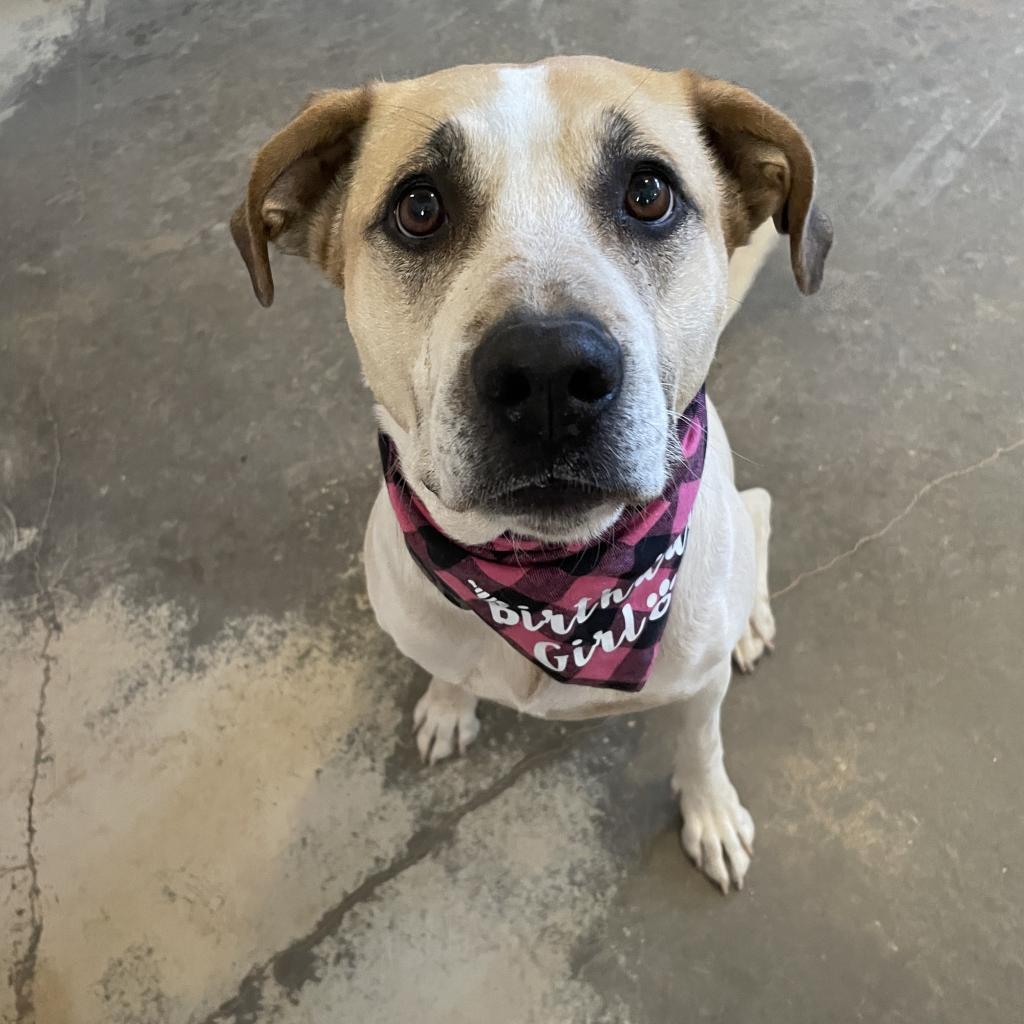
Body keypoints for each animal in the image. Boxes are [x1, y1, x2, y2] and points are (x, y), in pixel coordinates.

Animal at [230, 56, 831, 892]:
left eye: (649, 193)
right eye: (420, 207)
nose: (549, 374)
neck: (554, 586)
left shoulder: (697, 687)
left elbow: (700, 743)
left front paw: (710, 812)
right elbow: (446, 670)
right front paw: (448, 705)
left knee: (762, 508)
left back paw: (752, 624)